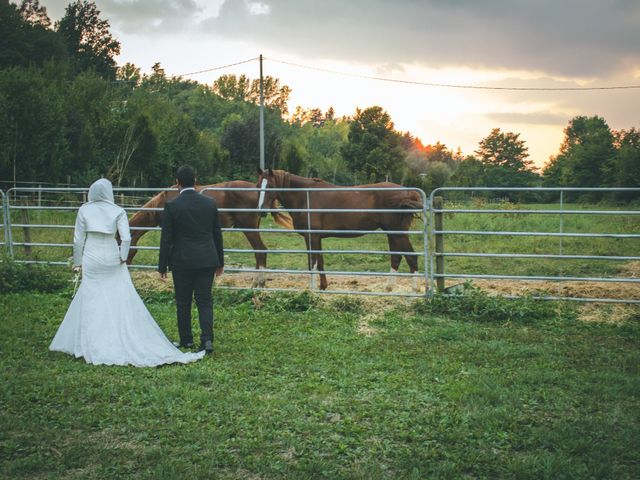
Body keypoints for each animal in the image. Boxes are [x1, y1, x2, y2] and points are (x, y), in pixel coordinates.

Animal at [255, 167, 424, 290]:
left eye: (270, 186)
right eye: (257, 186)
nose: (261, 211)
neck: (305, 196)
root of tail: (408, 192)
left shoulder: (311, 237)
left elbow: (312, 263)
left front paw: (312, 289)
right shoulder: (317, 238)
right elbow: (320, 262)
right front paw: (323, 287)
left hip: (399, 234)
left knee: (411, 257)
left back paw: (414, 291)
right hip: (392, 233)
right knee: (396, 257)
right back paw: (388, 288)